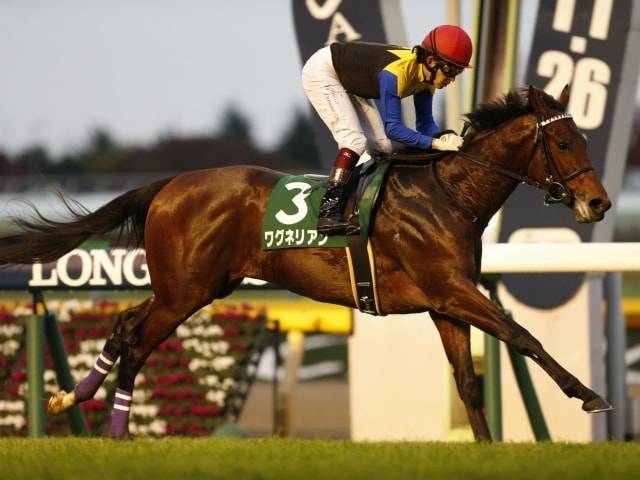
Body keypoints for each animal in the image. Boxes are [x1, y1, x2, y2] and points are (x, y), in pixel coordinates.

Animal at [0, 85, 612, 441]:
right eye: (562, 142)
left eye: (585, 138)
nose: (600, 203)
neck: (447, 194)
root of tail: (169, 185)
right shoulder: (453, 290)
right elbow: (523, 335)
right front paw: (588, 396)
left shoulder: (445, 303)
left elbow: (467, 380)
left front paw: (486, 449)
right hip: (185, 292)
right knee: (138, 341)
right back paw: (118, 431)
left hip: (191, 286)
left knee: (126, 325)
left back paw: (73, 396)